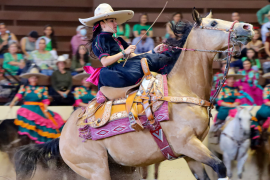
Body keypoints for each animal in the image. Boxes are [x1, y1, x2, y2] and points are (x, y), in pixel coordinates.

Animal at [13, 9, 253, 180]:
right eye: (213, 24)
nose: (247, 26)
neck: (182, 89)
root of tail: (63, 135)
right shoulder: (188, 144)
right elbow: (221, 168)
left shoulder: (191, 154)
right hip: (96, 170)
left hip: (119, 169)